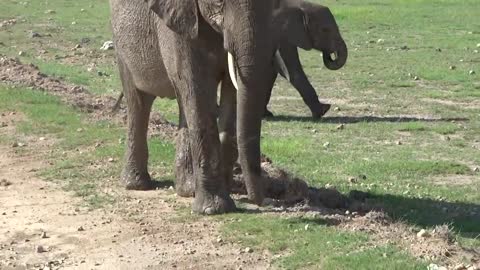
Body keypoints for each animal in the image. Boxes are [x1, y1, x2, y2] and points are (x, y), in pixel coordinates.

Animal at [109, 0, 278, 214]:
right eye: (220, 2)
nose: (262, 201)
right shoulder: (178, 25)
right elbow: (197, 88)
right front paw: (213, 209)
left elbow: (231, 90)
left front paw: (225, 190)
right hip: (121, 45)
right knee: (139, 102)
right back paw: (136, 185)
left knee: (181, 105)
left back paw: (188, 189)